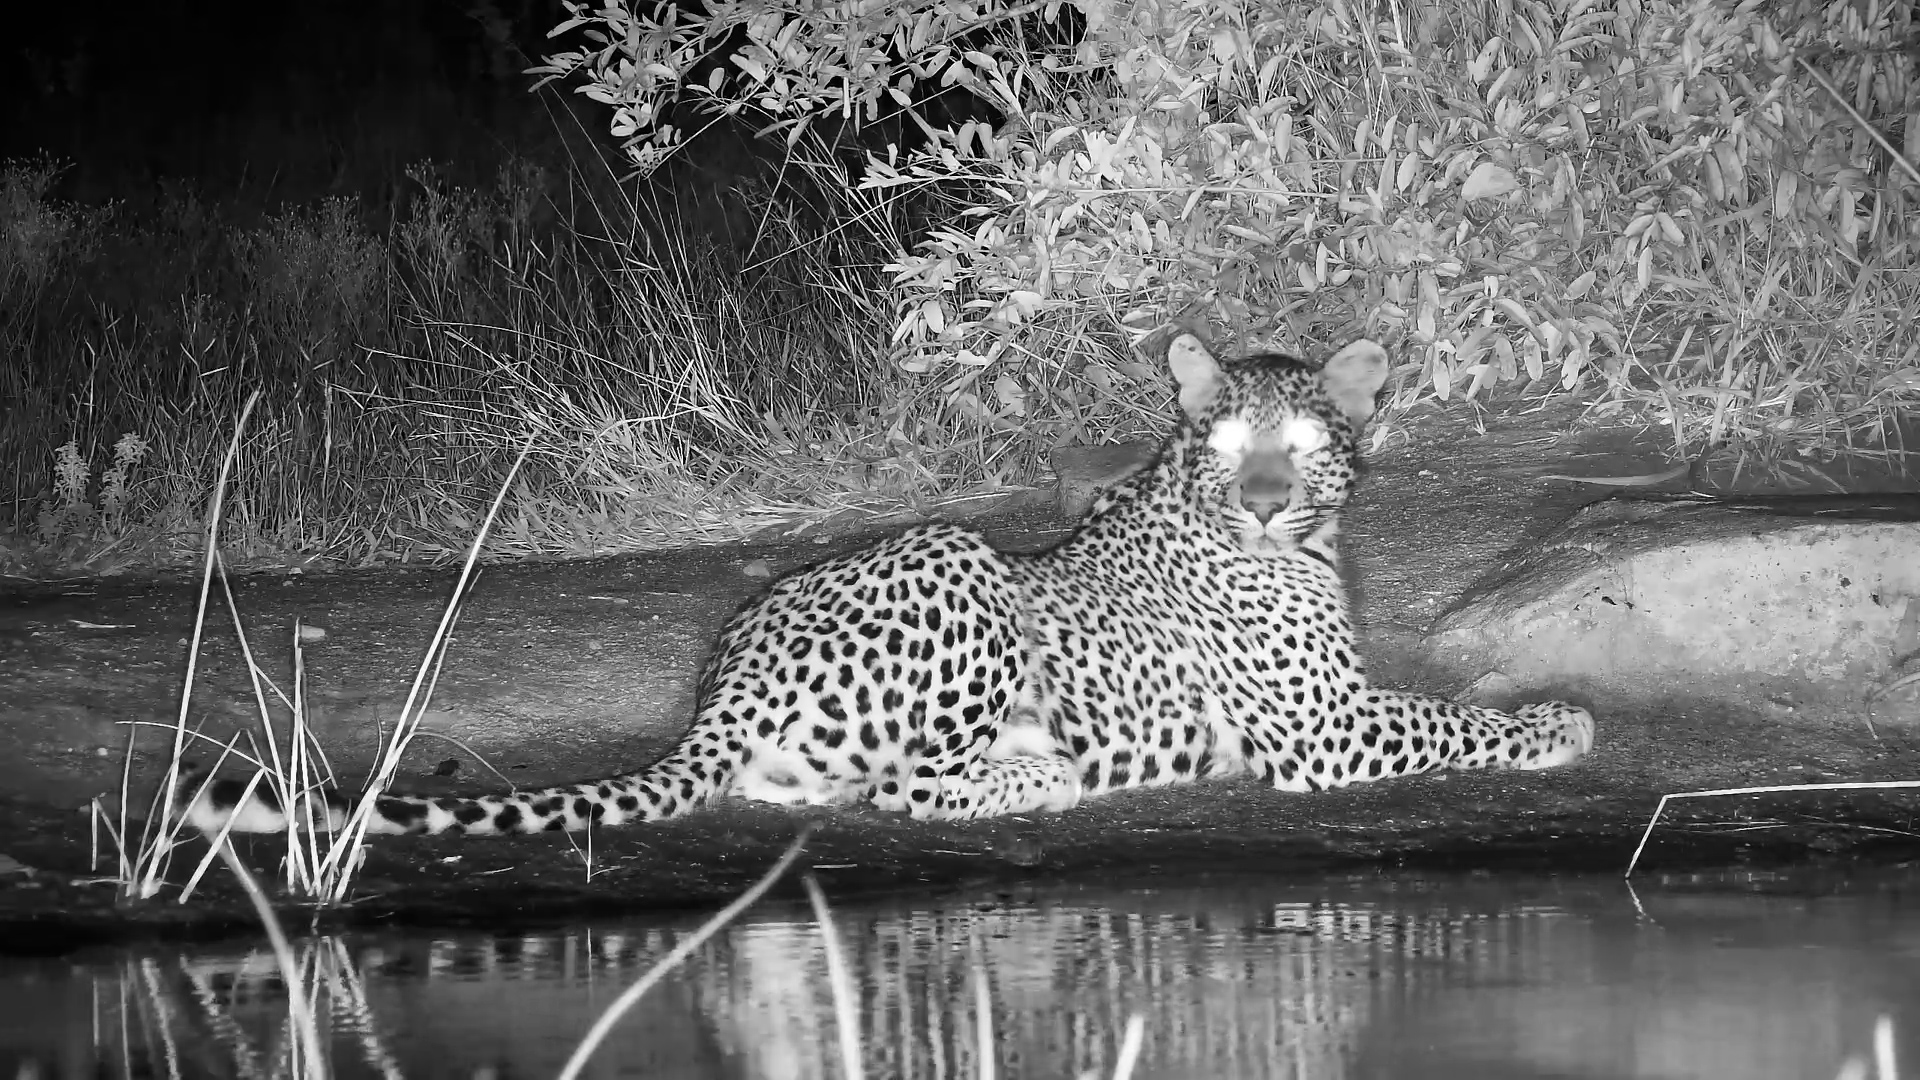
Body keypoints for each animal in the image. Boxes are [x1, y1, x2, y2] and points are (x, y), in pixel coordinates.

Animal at [186, 330, 1594, 837]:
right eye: (1223, 446)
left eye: (1296, 448)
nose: (1257, 501)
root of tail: (721, 690)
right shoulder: (1323, 728)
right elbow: (1442, 718)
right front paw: (1557, 721)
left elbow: (1438, 703)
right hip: (959, 566)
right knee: (907, 793)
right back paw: (1036, 776)